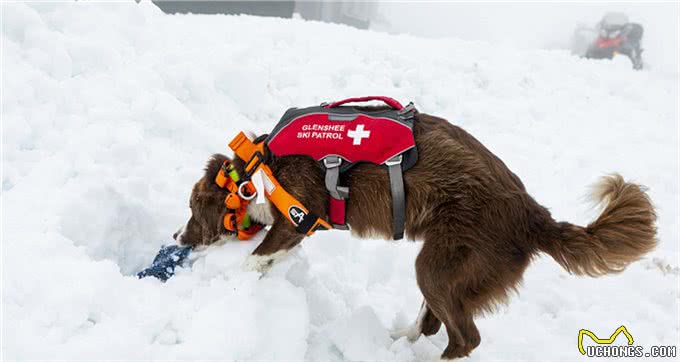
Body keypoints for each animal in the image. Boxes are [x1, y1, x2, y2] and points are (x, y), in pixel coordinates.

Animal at [173, 112, 656, 360]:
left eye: (193, 208)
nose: (178, 238)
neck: (260, 166)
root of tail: (535, 215)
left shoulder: (298, 216)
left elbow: (254, 257)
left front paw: (227, 282)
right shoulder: (296, 225)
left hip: (442, 263)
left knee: (464, 337)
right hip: (445, 265)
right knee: (433, 321)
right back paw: (396, 341)